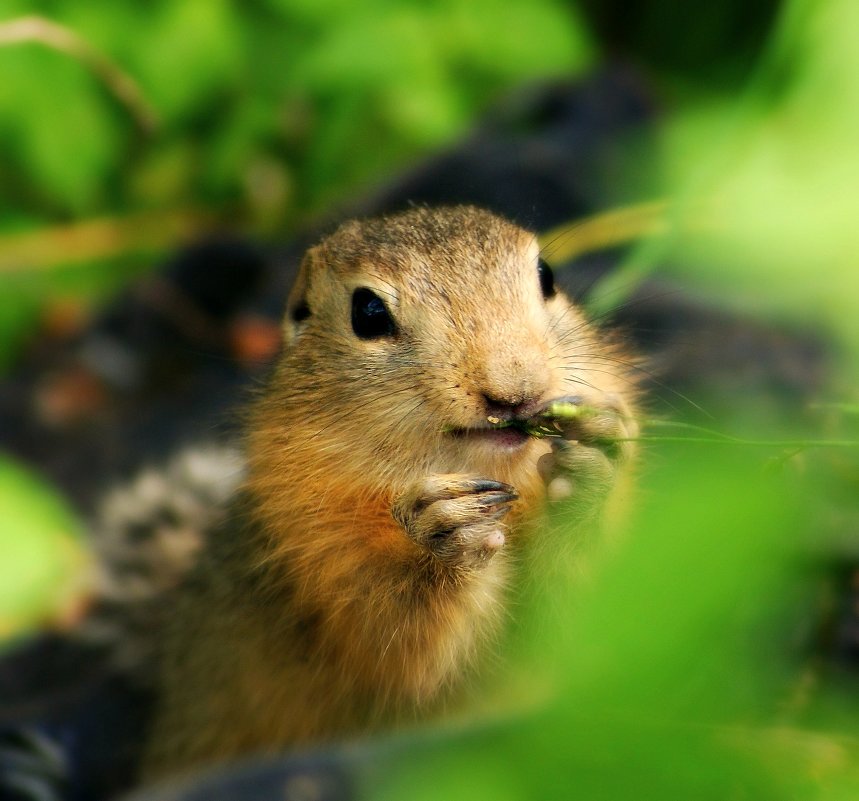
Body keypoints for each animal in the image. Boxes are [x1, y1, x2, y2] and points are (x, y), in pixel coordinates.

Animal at [141, 203, 640, 780]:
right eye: (368, 312)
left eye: (547, 276)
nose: (515, 392)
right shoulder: (318, 547)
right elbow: (400, 647)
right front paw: (445, 533)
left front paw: (591, 466)